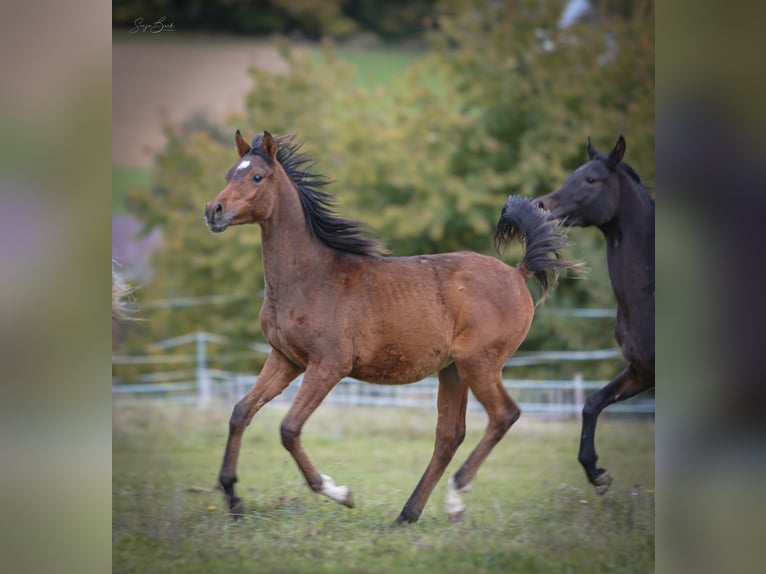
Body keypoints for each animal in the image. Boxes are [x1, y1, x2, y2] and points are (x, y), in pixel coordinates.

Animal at [204, 130, 576, 524]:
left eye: (257, 176)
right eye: (229, 173)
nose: (213, 211)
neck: (309, 277)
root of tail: (517, 273)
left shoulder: (328, 366)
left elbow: (288, 429)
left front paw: (340, 493)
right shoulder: (285, 359)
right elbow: (241, 412)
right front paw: (232, 497)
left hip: (480, 363)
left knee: (504, 415)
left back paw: (455, 495)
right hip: (453, 370)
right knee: (449, 436)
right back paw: (407, 515)